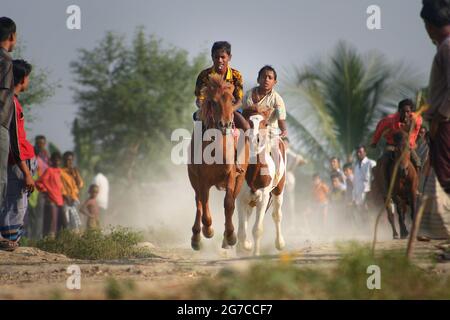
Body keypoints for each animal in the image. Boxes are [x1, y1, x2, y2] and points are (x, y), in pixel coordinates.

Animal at [186, 73, 250, 250]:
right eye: (213, 101)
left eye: (232, 100)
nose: (225, 124)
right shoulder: (202, 179)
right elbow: (204, 203)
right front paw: (208, 230)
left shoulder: (231, 176)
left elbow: (228, 203)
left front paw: (230, 236)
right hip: (193, 179)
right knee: (198, 202)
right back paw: (196, 237)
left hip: (240, 180)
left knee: (231, 202)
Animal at [237, 109, 286, 256]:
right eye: (247, 122)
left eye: (265, 123)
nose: (256, 139)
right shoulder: (240, 198)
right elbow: (241, 230)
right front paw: (245, 246)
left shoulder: (263, 198)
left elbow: (257, 229)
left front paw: (255, 253)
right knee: (246, 217)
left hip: (278, 189)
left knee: (277, 215)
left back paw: (280, 243)